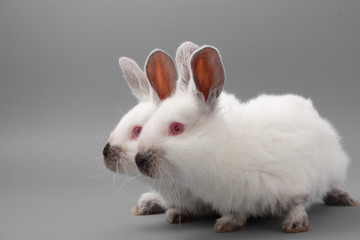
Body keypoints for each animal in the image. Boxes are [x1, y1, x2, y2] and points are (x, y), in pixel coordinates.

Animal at [134, 45, 358, 232]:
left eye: (176, 128)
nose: (139, 160)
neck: (219, 150)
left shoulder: (291, 182)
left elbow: (298, 202)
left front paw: (295, 224)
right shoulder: (234, 199)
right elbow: (237, 213)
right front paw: (226, 224)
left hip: (332, 166)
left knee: (330, 185)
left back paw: (343, 198)